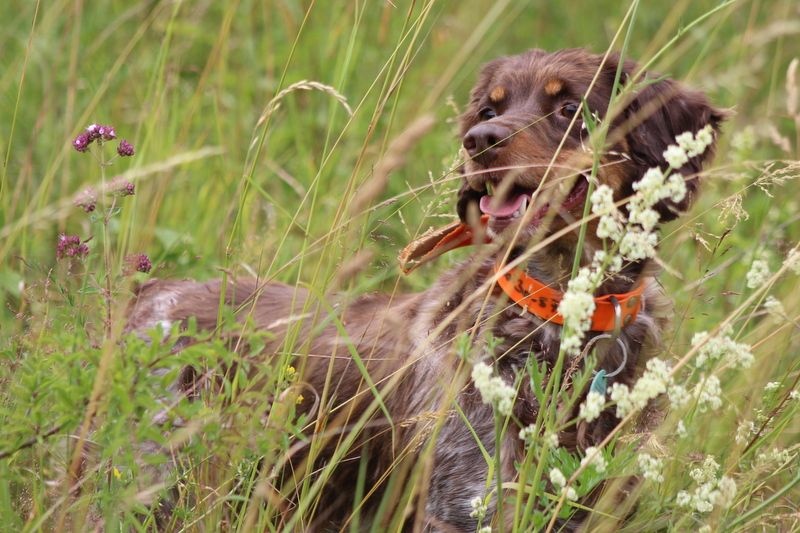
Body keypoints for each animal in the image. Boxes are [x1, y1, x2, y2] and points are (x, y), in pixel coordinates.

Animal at [126, 48, 724, 528]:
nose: (480, 141)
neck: (559, 313)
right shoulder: (463, 505)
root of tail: (152, 296)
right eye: (489, 110)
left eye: (570, 109)